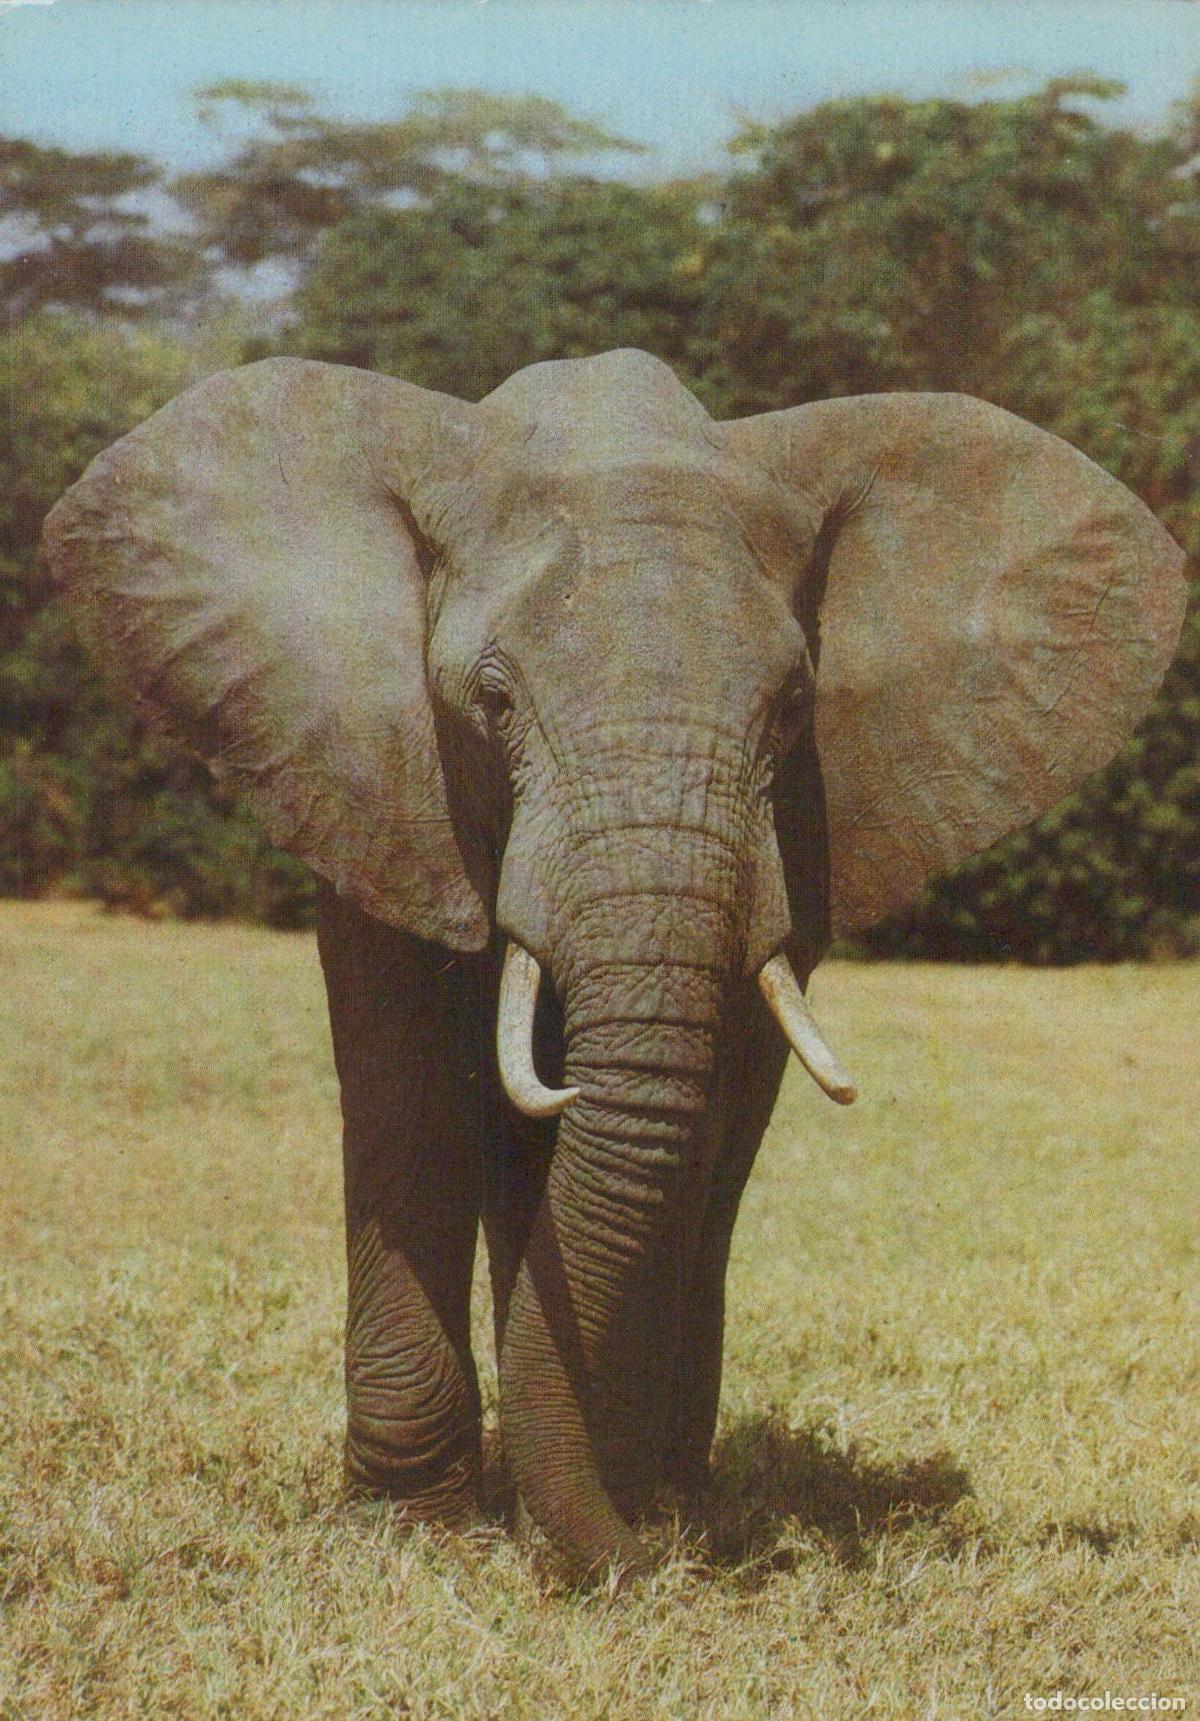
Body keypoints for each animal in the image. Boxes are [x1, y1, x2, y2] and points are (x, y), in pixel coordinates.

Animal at [42, 348, 1186, 1582]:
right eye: (491, 701)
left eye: (794, 707)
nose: (637, 1563)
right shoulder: (377, 782)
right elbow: (408, 1091)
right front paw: (414, 1530)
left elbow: (703, 1105)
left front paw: (625, 1500)